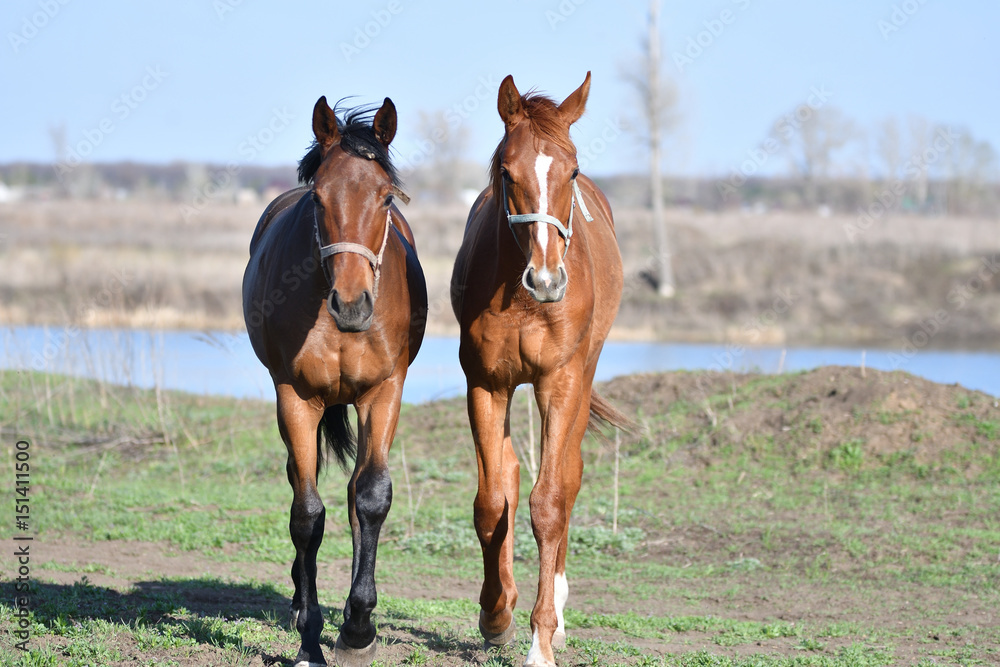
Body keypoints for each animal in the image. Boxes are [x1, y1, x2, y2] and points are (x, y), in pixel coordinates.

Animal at [243, 96, 427, 667]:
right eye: (319, 196)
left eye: (386, 197)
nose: (352, 304)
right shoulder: (296, 396)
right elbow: (306, 515)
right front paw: (310, 639)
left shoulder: (384, 391)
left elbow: (370, 498)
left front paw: (358, 627)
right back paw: (303, 602)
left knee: (351, 496)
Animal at [450, 72, 632, 666]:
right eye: (508, 171)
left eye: (571, 169)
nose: (548, 278)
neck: (523, 300)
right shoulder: (485, 383)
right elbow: (493, 501)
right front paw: (495, 616)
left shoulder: (561, 382)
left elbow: (550, 501)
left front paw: (541, 641)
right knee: (506, 474)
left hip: (581, 375)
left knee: (568, 475)